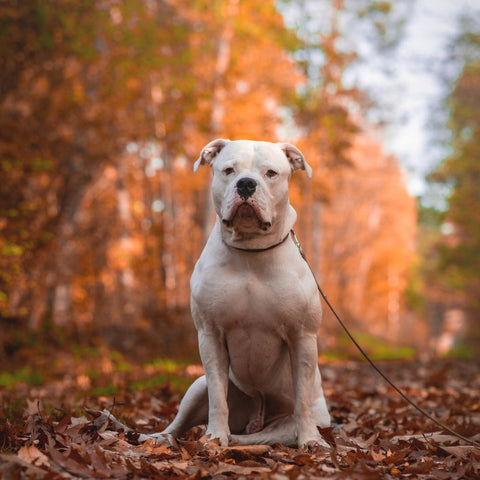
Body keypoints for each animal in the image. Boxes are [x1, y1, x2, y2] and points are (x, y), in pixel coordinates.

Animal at [148, 141, 332, 448]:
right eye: (228, 170)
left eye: (271, 173)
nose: (246, 184)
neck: (251, 252)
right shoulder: (210, 334)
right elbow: (217, 396)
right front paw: (214, 435)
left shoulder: (302, 336)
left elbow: (302, 397)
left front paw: (310, 440)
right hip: (197, 386)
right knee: (182, 421)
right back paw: (159, 437)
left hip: (283, 427)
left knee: (260, 435)